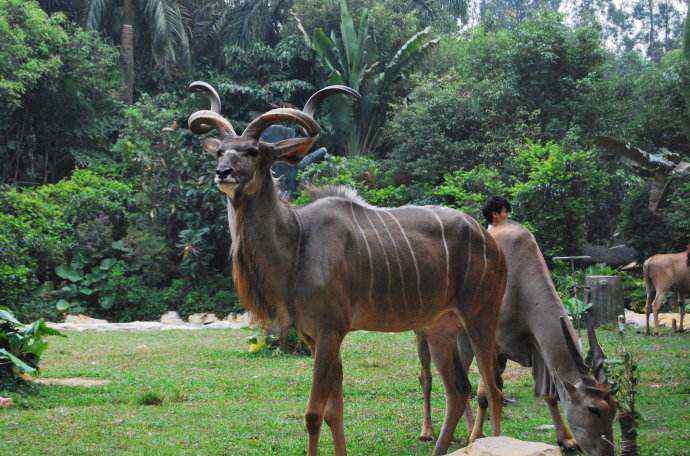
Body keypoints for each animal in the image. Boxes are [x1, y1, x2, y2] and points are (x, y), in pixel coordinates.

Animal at [188, 82, 506, 456]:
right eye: (220, 152)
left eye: (252, 151)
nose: (223, 173)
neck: (298, 240)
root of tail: (489, 241)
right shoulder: (314, 336)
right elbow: (333, 411)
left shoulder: (330, 330)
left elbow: (313, 413)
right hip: (438, 328)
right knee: (458, 391)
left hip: (480, 317)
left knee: (491, 390)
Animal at [414, 220, 612, 452]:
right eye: (593, 409)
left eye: (614, 409)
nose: (608, 450)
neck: (520, 282)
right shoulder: (493, 345)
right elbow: (484, 394)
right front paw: (477, 436)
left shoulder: (536, 348)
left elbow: (549, 394)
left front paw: (567, 439)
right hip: (424, 336)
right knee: (426, 376)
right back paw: (428, 431)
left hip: (462, 340)